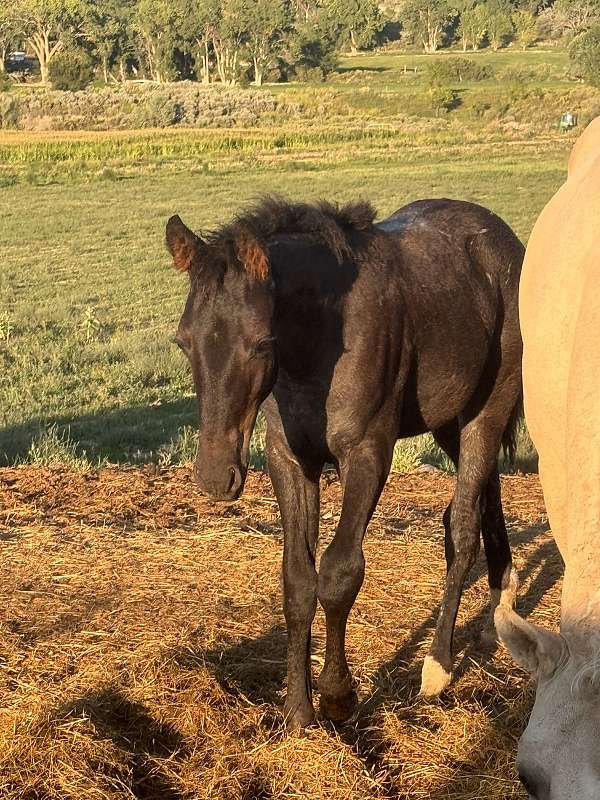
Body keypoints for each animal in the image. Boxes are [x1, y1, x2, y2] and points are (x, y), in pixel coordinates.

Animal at [166, 197, 524, 728]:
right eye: (183, 341)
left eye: (261, 343)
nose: (214, 476)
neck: (318, 343)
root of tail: (504, 238)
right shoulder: (291, 458)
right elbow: (298, 579)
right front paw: (297, 709)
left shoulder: (367, 454)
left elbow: (338, 573)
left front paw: (337, 696)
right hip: (449, 418)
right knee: (485, 497)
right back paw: (502, 601)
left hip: (490, 407)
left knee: (461, 527)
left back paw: (437, 667)